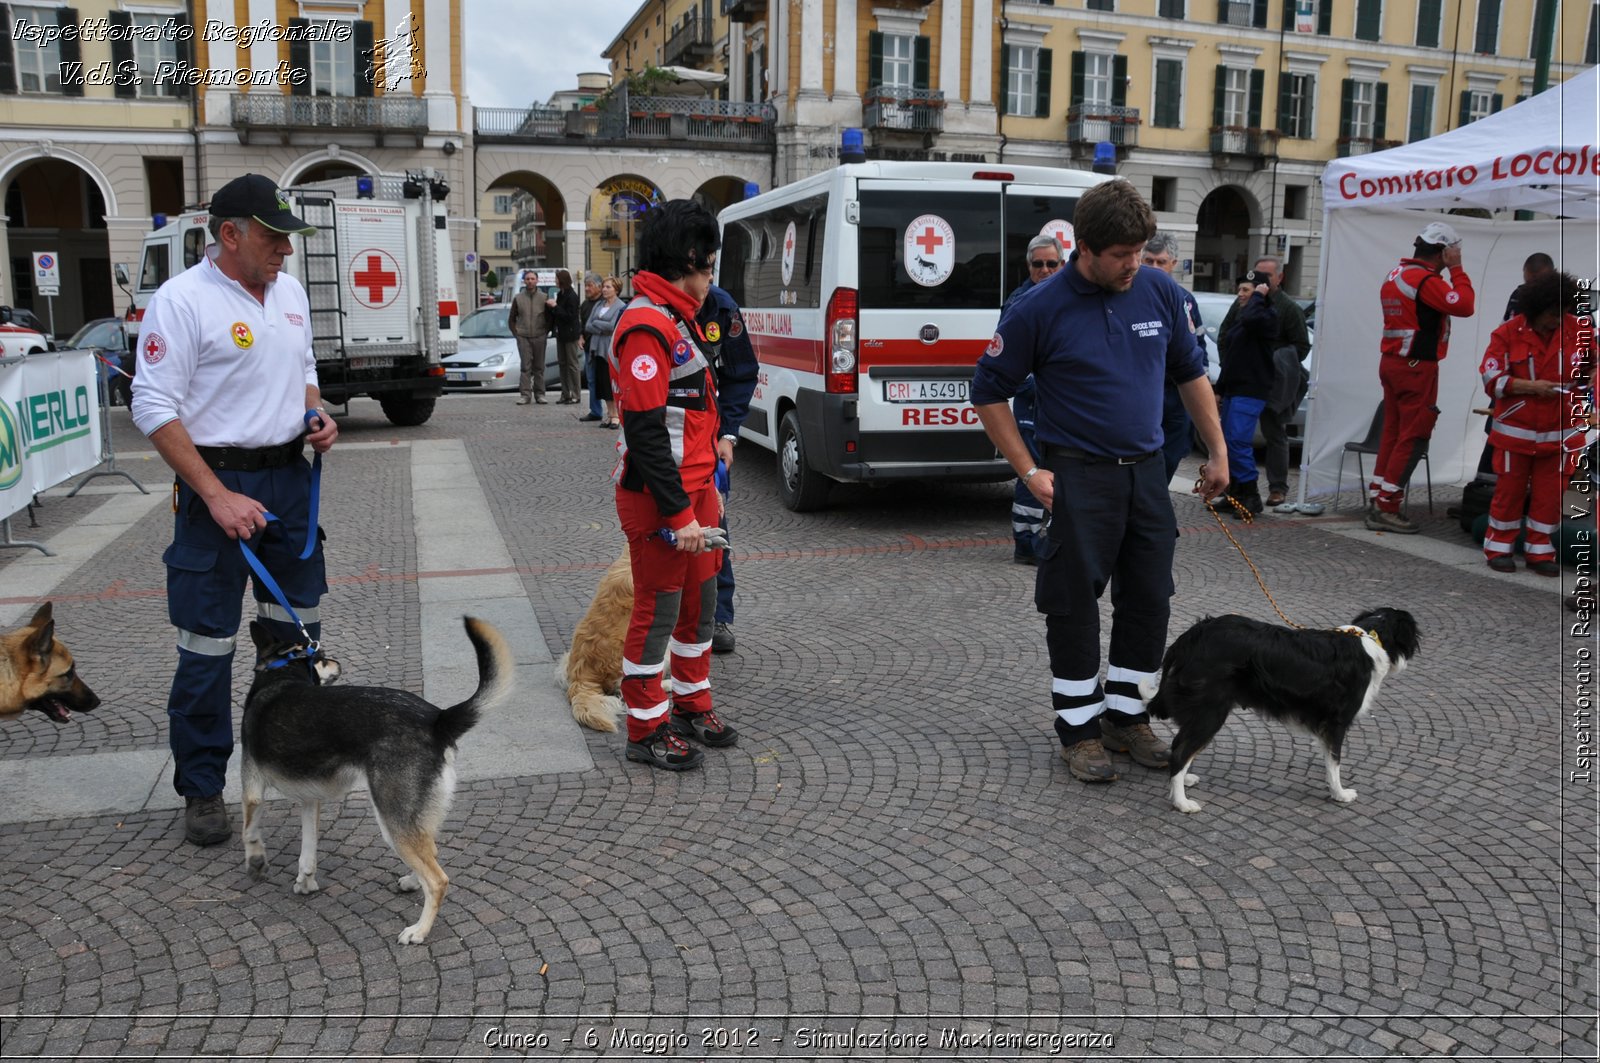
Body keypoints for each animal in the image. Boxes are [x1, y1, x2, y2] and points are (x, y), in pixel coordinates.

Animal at [240, 617, 512, 941]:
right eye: (322, 657)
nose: (337, 662)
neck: (281, 671)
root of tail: (437, 718)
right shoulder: (310, 799)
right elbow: (308, 852)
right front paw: (305, 882)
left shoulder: (252, 788)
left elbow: (249, 832)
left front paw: (256, 862)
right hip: (411, 818)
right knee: (430, 850)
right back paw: (411, 882)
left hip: (391, 820)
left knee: (438, 880)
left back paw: (419, 930)